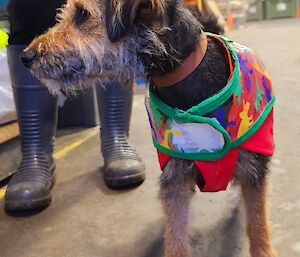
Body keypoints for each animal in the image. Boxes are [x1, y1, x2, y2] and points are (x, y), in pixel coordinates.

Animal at [21, 0, 276, 256]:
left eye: (82, 13)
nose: (25, 56)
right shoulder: (175, 179)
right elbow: (176, 237)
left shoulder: (253, 172)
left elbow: (258, 226)